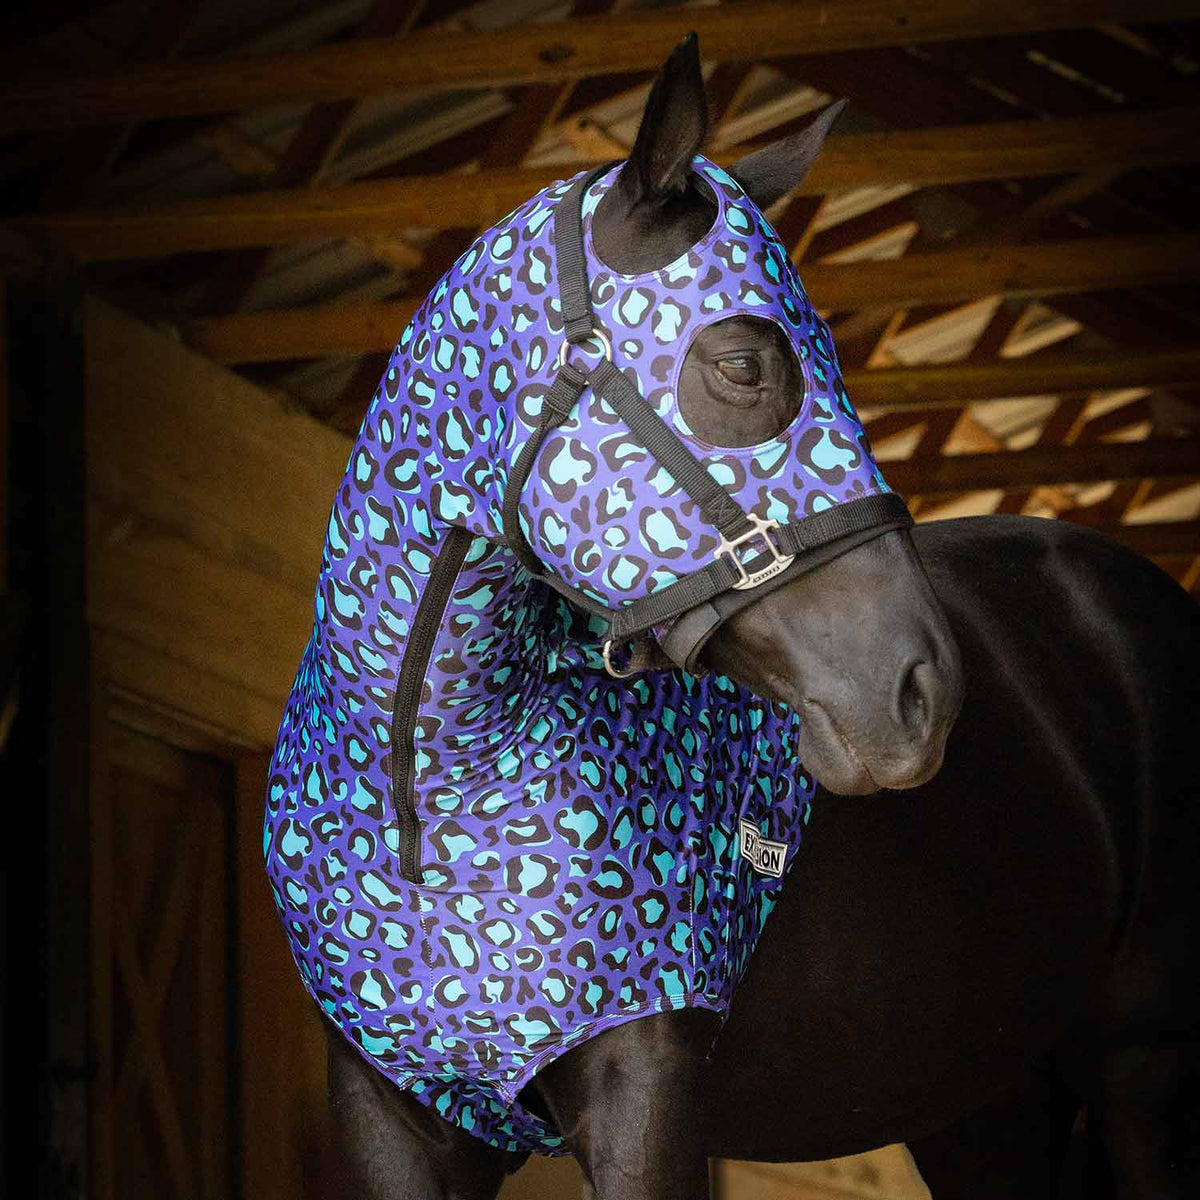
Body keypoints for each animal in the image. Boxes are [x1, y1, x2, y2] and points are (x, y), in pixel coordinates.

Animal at [267, 35, 1199, 1199]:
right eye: (744, 364)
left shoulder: (647, 1096)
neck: (420, 804)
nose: (926, 691)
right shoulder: (397, 1120)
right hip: (989, 1105)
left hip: (1144, 1068)